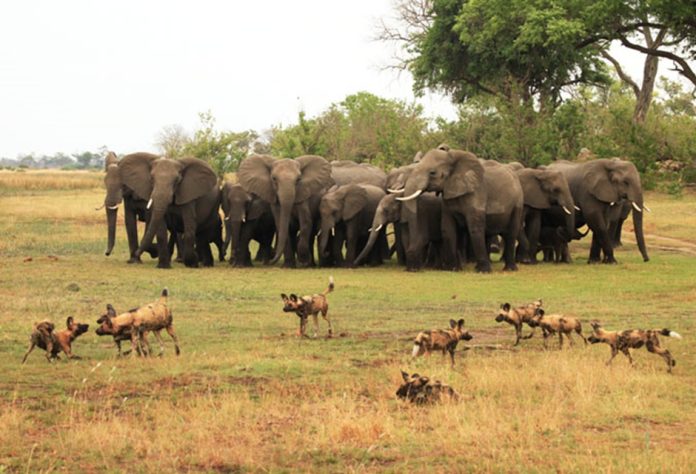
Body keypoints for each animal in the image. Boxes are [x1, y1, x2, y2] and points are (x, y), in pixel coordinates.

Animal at [396, 144, 520, 272]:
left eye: (432, 173)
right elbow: (447, 228)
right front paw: (453, 269)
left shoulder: (477, 191)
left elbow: (475, 228)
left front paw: (483, 271)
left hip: (518, 202)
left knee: (511, 234)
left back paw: (509, 269)